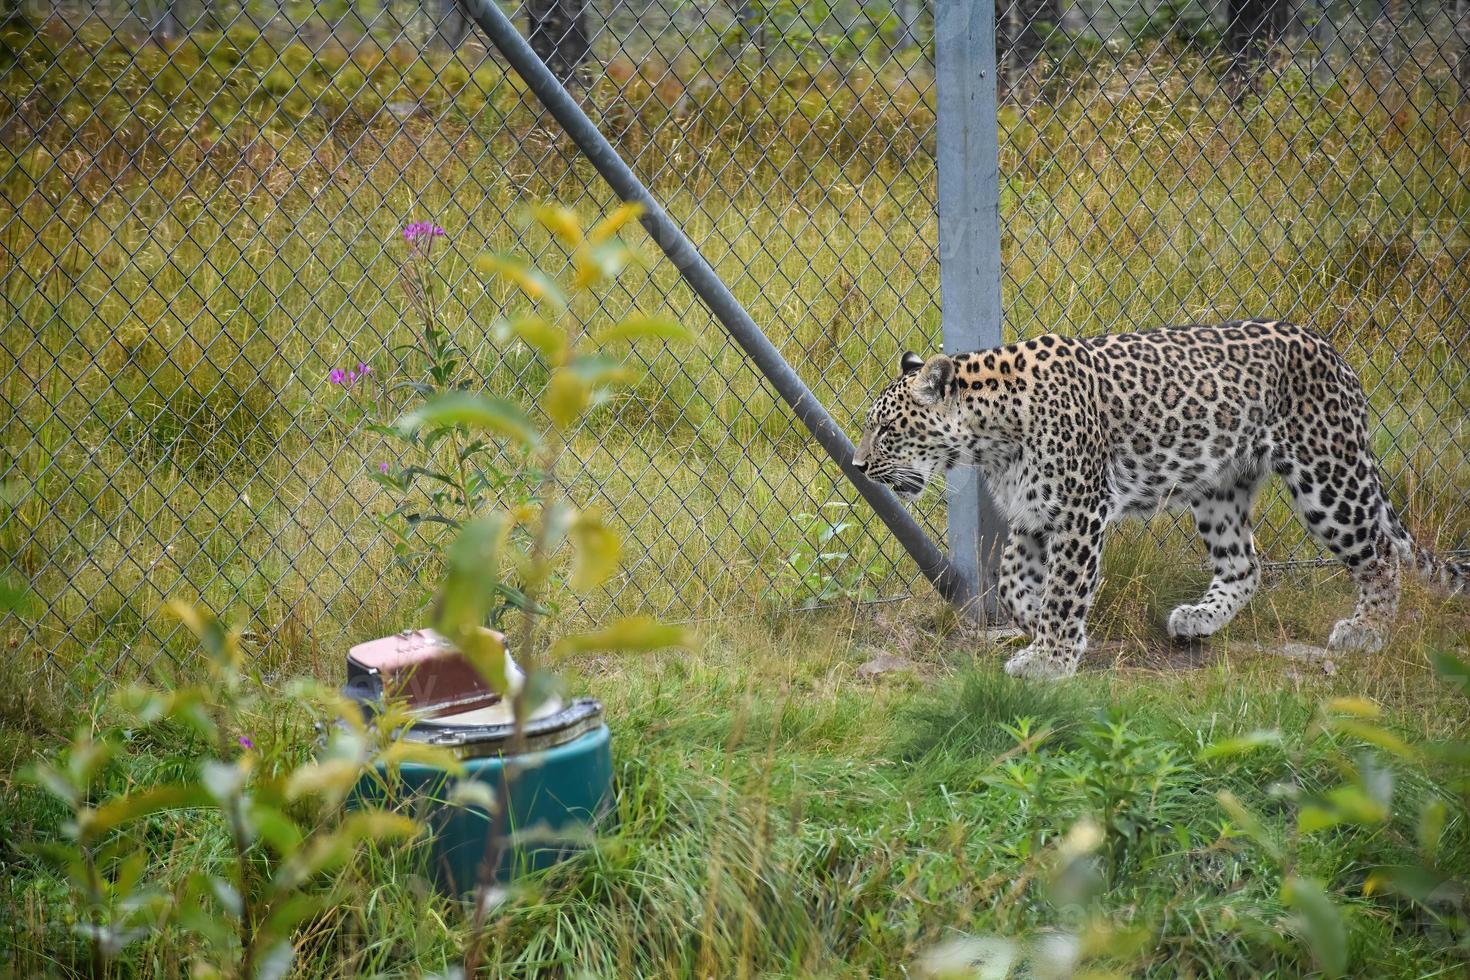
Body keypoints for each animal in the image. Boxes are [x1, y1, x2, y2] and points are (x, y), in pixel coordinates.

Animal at [852, 321, 1470, 681]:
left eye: (885, 430)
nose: (857, 467)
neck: (991, 437)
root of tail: (1333, 352)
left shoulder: (1079, 509)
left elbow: (1064, 590)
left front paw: (1050, 658)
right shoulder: (1032, 513)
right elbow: (1011, 583)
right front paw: (1037, 625)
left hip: (1327, 475)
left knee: (1380, 554)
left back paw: (1368, 631)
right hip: (1219, 486)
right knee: (1245, 564)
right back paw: (1199, 618)